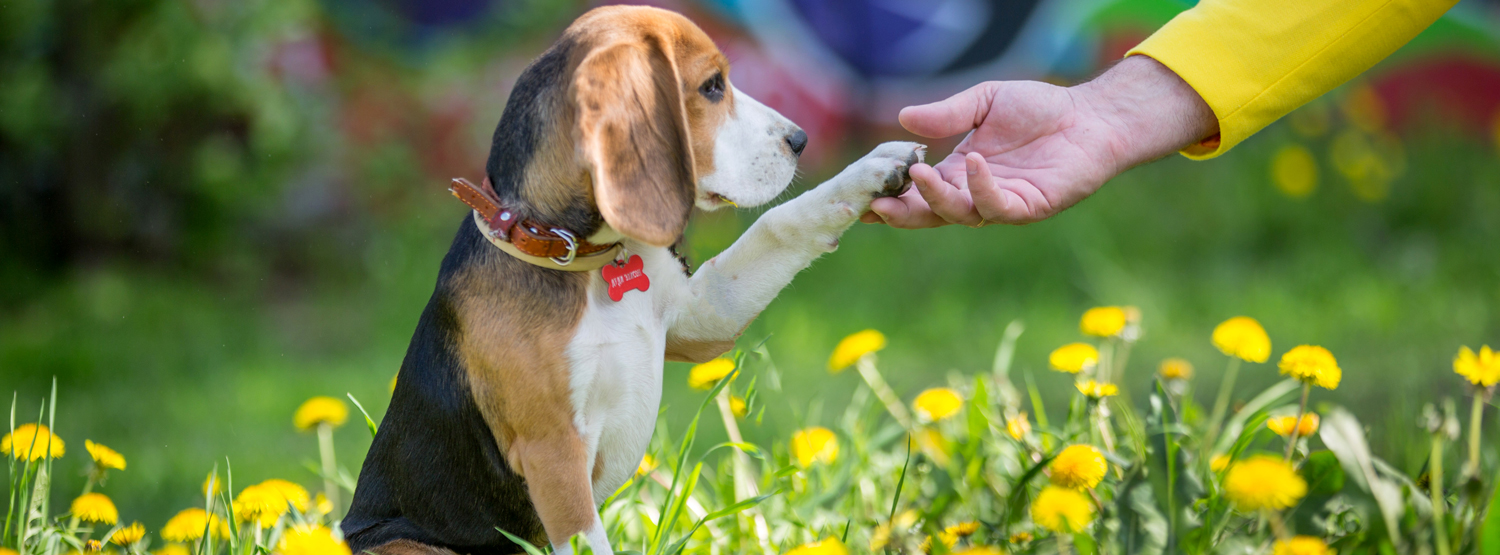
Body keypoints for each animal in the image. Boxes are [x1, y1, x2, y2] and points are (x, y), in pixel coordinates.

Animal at [343, 5, 918, 555]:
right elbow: (588, 540)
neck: (579, 260)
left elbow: (779, 224)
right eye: (712, 86)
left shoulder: (705, 313)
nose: (800, 140)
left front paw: (871, 170)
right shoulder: (554, 456)